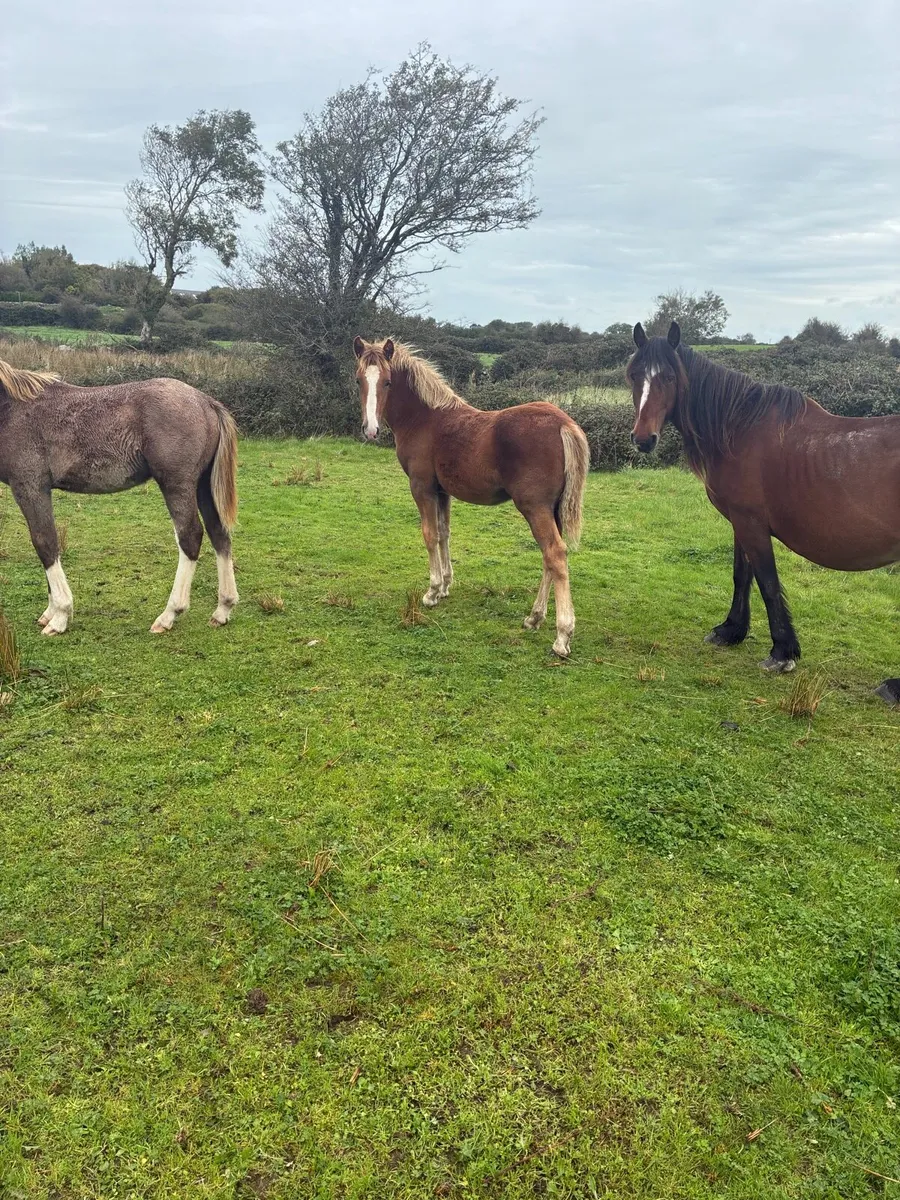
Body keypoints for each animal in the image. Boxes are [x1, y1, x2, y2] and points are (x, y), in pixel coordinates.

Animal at [0, 359, 239, 636]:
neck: (12, 407)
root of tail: (205, 401)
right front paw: (49, 612)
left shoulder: (30, 487)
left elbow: (45, 543)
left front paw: (59, 616)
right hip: (202, 486)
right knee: (218, 533)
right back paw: (223, 609)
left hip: (177, 485)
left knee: (190, 536)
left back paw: (169, 614)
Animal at [353, 337, 590, 657]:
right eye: (359, 380)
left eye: (388, 382)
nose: (370, 430)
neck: (425, 419)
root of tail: (564, 424)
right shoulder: (442, 492)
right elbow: (444, 533)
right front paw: (445, 586)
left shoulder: (421, 487)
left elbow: (429, 534)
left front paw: (431, 592)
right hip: (552, 509)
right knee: (549, 557)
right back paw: (534, 617)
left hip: (535, 507)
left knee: (555, 553)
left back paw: (562, 636)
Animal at [627, 322, 900, 703]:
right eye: (635, 375)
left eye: (668, 376)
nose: (643, 439)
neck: (739, 429)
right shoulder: (740, 522)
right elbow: (742, 576)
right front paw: (731, 631)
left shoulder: (752, 523)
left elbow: (768, 582)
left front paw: (782, 653)